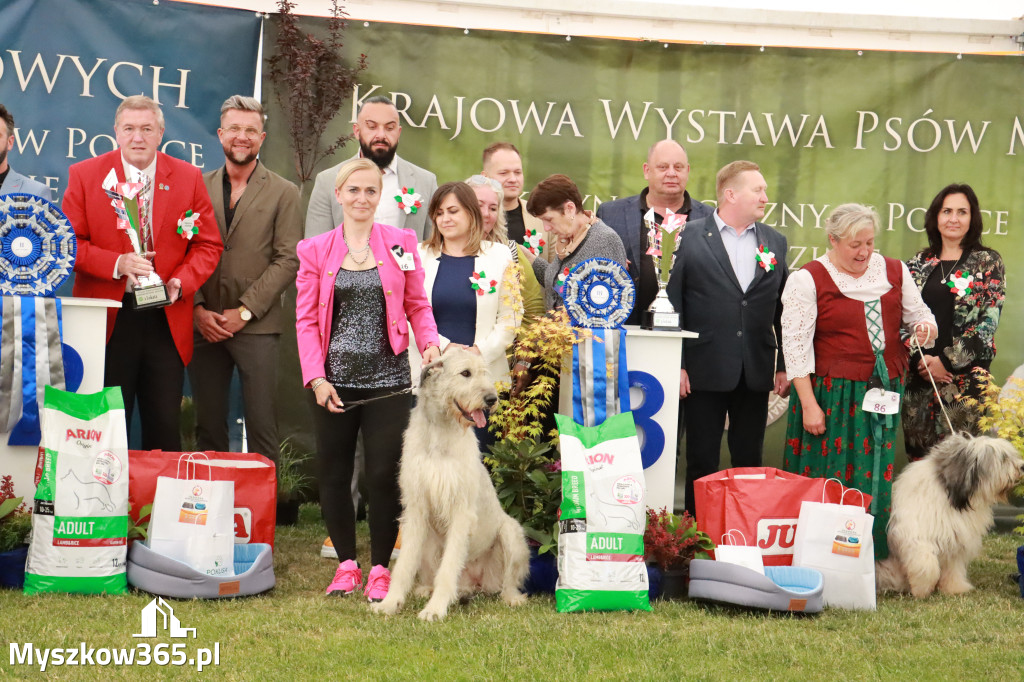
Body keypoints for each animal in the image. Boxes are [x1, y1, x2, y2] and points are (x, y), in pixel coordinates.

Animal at [368, 348, 528, 618]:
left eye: (484, 373)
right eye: (465, 373)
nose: (492, 399)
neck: (439, 432)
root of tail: (475, 584)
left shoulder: (461, 511)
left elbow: (449, 566)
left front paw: (435, 609)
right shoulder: (415, 508)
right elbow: (404, 564)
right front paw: (390, 602)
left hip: (511, 533)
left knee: (509, 580)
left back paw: (512, 598)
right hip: (428, 541)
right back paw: (426, 588)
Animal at [876, 430, 1024, 593]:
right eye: (1003, 458)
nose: (1022, 466)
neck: (950, 494)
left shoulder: (955, 540)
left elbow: (953, 568)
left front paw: (954, 588)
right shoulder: (913, 537)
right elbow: (927, 563)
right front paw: (922, 589)